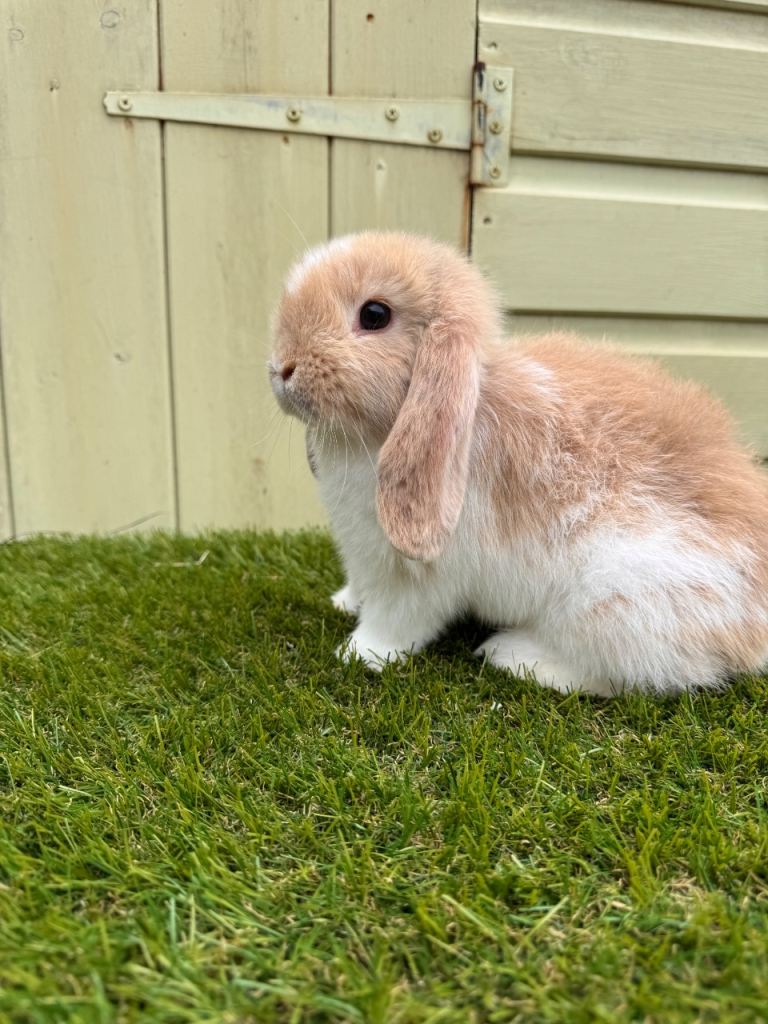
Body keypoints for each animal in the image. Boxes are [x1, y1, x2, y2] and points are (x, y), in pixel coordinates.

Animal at [269, 231, 768, 696]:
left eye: (374, 315)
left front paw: (358, 653)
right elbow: (361, 587)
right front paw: (343, 601)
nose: (280, 368)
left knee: (623, 675)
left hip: (615, 604)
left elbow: (397, 620)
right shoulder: (363, 555)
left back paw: (510, 654)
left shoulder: (417, 576)